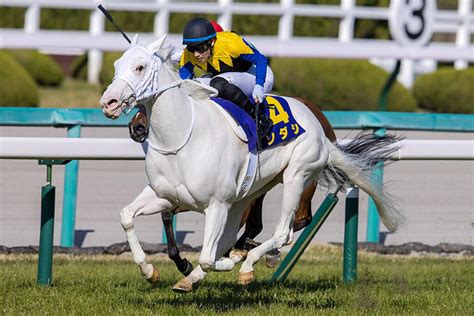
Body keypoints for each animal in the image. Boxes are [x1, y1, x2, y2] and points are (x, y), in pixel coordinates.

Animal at [130, 96, 336, 276]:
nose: (136, 127)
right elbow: (166, 214)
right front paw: (182, 263)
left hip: (300, 178)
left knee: (301, 218)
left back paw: (261, 251)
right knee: (259, 224)